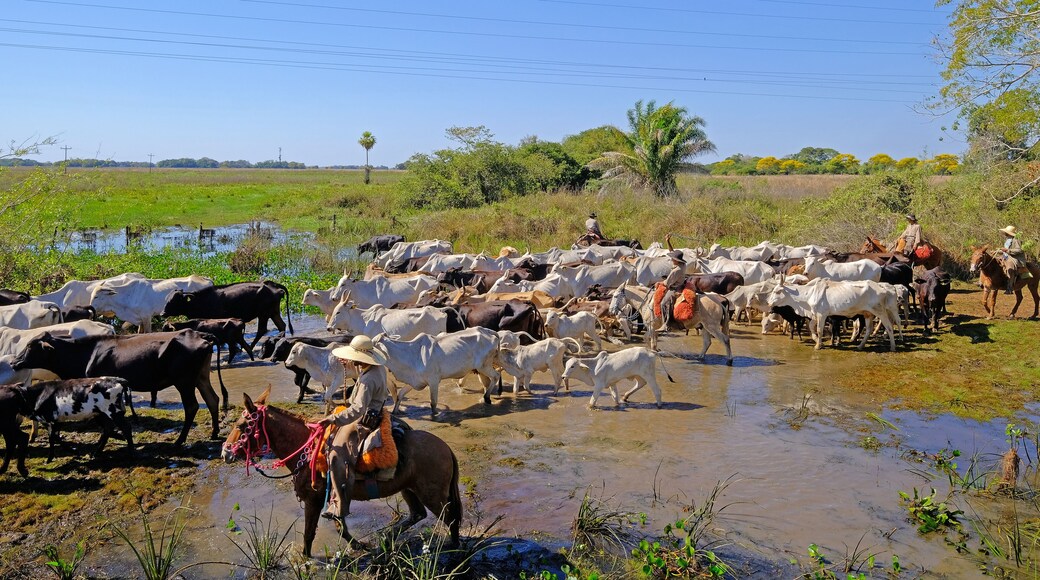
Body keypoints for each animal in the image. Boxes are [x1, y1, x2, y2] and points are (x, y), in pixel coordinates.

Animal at [10, 329, 224, 445]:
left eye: (30, 346)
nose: (13, 362)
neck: (84, 354)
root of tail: (199, 334)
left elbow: (103, 421)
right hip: (201, 377)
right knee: (213, 399)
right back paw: (214, 433)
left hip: (184, 380)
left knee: (192, 406)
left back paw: (179, 441)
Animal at [162, 280, 294, 351]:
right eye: (167, 299)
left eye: (175, 300)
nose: (163, 313)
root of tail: (272, 285)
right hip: (273, 312)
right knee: (281, 325)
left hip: (264, 314)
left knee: (262, 330)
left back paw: (249, 347)